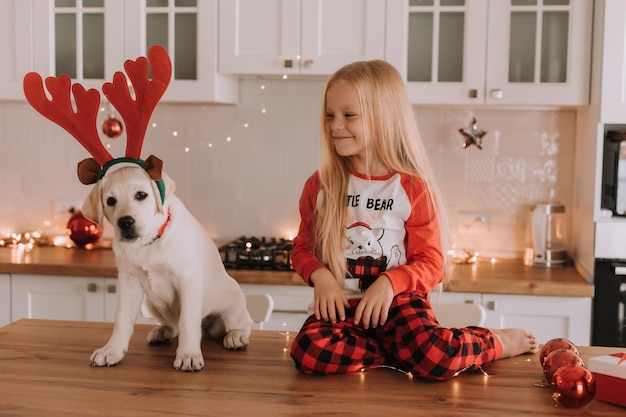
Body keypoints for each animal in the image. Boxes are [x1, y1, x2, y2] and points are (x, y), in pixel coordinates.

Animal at [84, 162, 252, 370]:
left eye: (141, 195)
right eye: (110, 200)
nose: (125, 222)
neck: (148, 243)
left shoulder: (187, 279)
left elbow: (188, 321)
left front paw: (188, 355)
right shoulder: (128, 280)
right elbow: (121, 319)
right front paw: (111, 351)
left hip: (233, 303)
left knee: (242, 323)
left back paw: (236, 336)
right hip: (152, 303)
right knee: (173, 325)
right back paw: (162, 332)